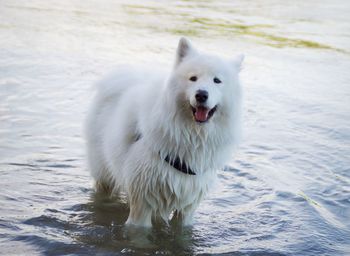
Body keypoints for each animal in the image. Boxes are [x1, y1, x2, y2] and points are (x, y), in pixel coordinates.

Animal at [85, 37, 243, 226]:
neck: (191, 135)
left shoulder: (188, 205)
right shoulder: (142, 204)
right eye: (193, 78)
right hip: (103, 175)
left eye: (217, 81)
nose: (201, 94)